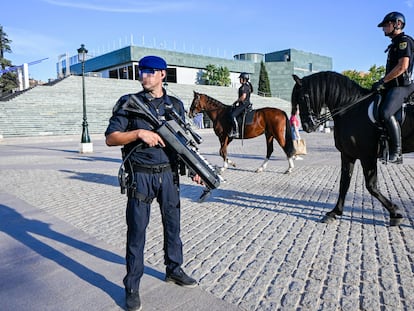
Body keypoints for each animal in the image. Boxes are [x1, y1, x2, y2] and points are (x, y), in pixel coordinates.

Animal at [292, 71, 414, 227]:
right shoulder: (347, 154)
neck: (352, 109)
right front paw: (334, 212)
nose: (307, 126)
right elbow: (344, 183)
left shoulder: (367, 157)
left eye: (302, 98)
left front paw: (395, 212)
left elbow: (371, 186)